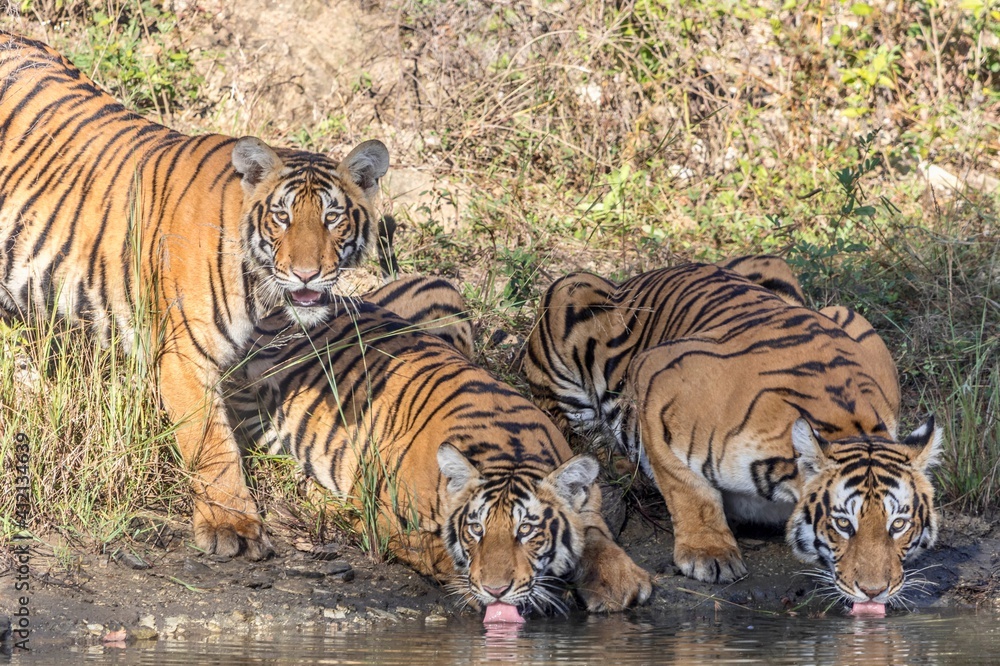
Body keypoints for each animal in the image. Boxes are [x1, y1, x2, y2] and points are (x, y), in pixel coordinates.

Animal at [0, 31, 389, 559]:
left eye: (332, 218)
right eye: (282, 217)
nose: (307, 275)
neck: (264, 296)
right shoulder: (185, 353)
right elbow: (211, 443)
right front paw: (232, 526)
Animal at [225, 276, 653, 615]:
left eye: (527, 531)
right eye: (476, 530)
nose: (498, 591)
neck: (508, 448)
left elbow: (595, 532)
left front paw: (620, 581)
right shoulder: (388, 518)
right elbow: (438, 550)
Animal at [522, 258, 941, 611]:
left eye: (898, 524)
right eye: (843, 524)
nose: (876, 591)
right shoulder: (657, 378)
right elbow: (687, 488)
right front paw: (709, 553)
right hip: (570, 297)